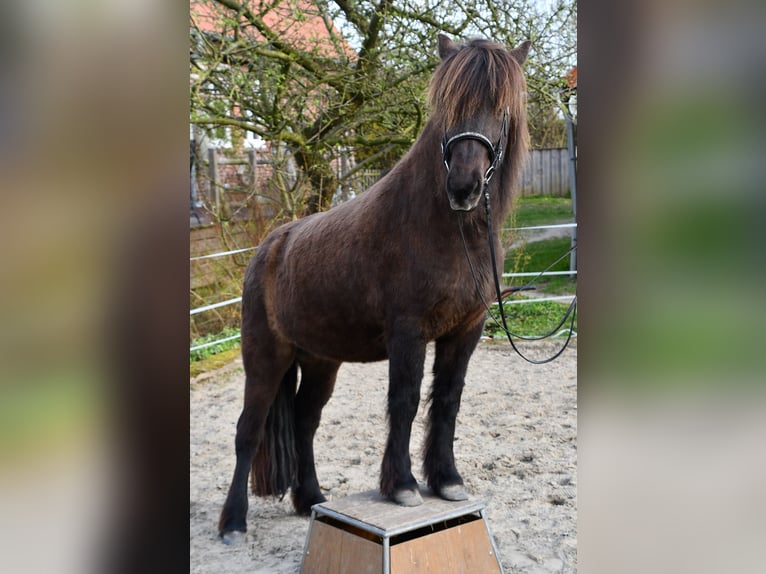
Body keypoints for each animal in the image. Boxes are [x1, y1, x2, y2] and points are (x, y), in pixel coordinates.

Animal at [219, 34, 530, 542]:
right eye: (447, 106)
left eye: (501, 110)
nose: (463, 187)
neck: (446, 230)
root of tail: (267, 248)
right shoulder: (408, 332)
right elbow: (404, 401)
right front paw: (402, 486)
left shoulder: (465, 331)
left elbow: (447, 400)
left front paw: (446, 480)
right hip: (265, 358)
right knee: (248, 430)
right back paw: (233, 522)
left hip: (320, 361)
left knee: (304, 423)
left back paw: (311, 499)